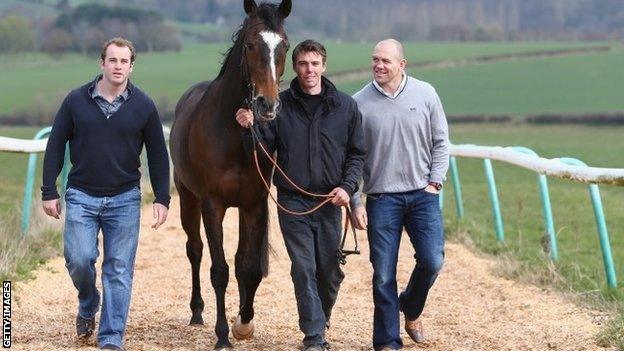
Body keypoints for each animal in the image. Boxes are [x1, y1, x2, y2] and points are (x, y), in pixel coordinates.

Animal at [168, 0, 290, 350]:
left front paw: (244, 323)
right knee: (195, 250)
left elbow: (248, 269)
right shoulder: (213, 205)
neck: (234, 133)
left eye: (284, 46)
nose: (267, 105)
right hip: (188, 199)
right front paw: (223, 334)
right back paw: (197, 312)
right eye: (249, 45)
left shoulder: (254, 205)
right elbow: (219, 270)